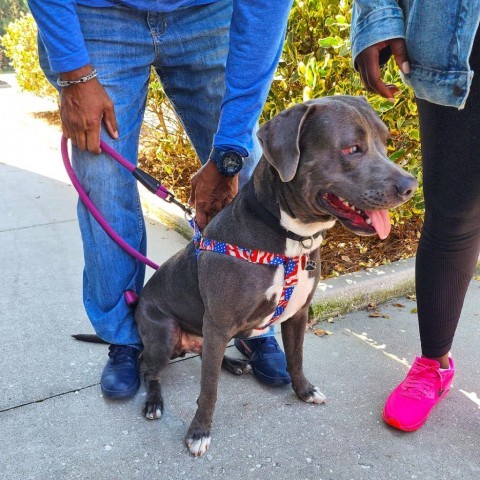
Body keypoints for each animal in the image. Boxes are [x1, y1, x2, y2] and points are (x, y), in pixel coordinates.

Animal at [134, 94, 416, 458]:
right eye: (352, 148)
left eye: (385, 142)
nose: (411, 186)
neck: (289, 236)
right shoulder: (218, 323)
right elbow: (208, 388)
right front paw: (199, 431)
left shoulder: (297, 315)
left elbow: (296, 359)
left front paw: (304, 390)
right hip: (164, 334)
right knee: (148, 368)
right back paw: (154, 402)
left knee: (206, 355)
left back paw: (236, 363)